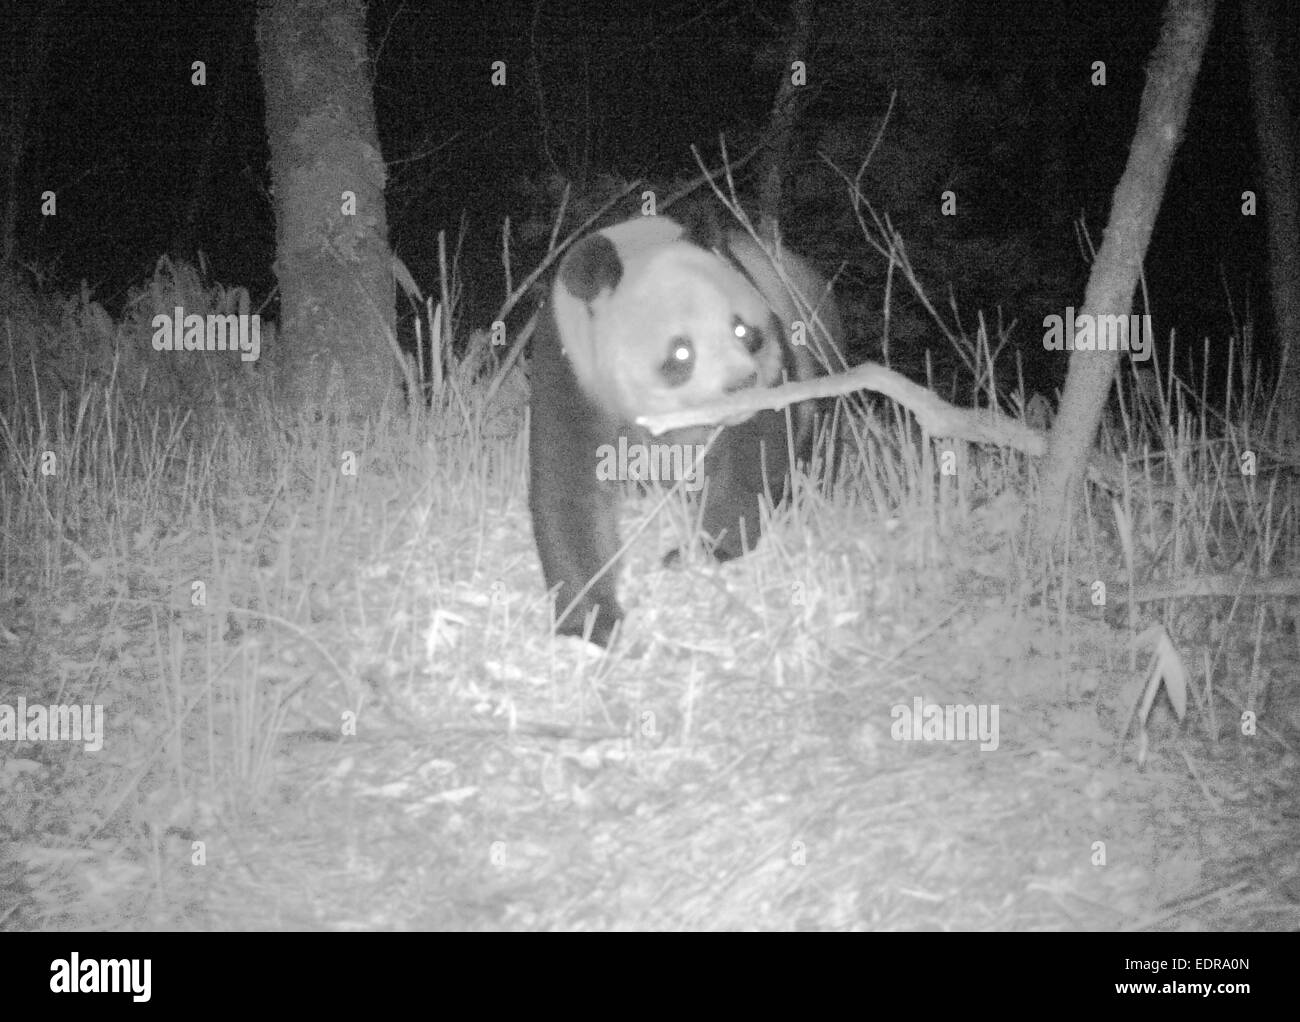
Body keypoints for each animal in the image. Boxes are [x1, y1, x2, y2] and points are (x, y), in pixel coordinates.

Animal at [527, 201, 842, 642]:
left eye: (743, 330)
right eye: (681, 352)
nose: (741, 384)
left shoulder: (777, 360)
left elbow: (753, 457)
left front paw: (703, 550)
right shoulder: (570, 371)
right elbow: (568, 488)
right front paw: (592, 620)